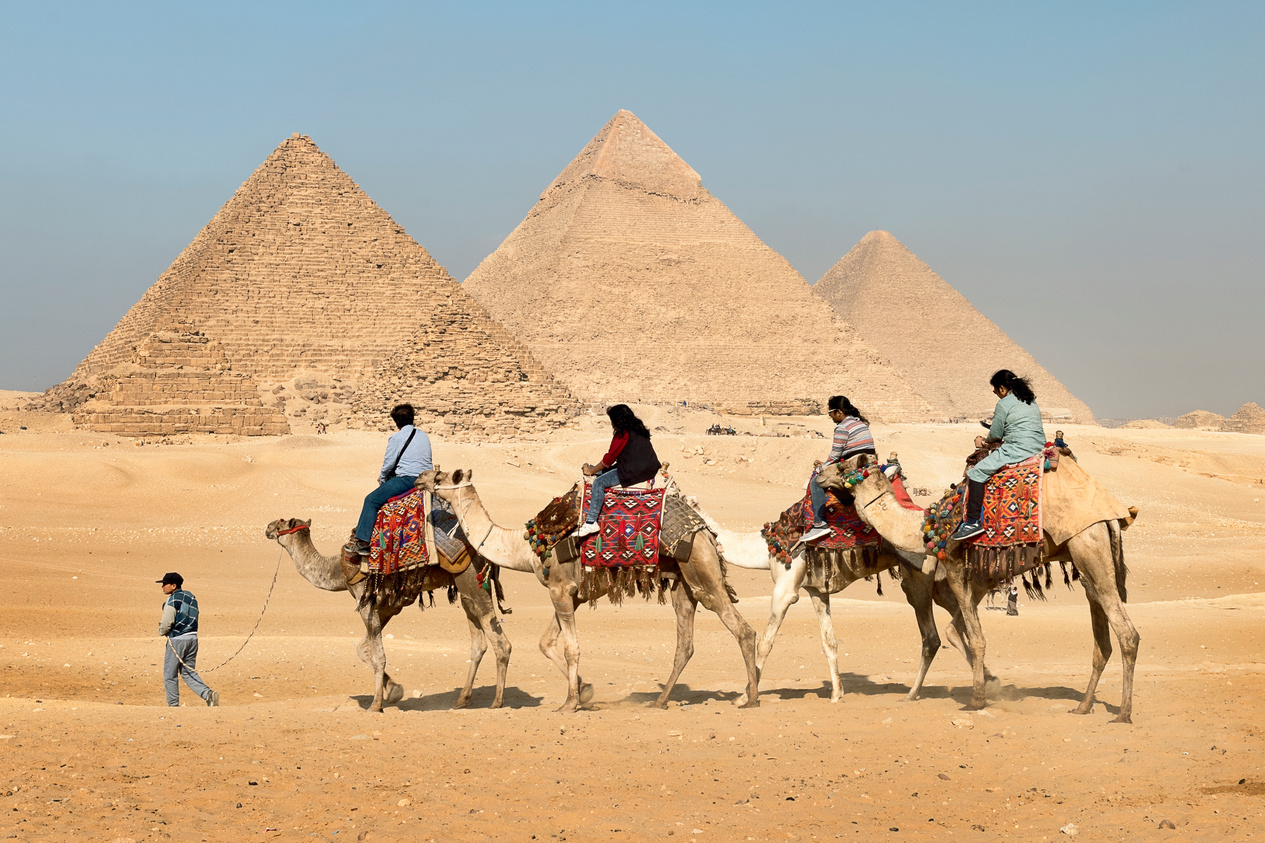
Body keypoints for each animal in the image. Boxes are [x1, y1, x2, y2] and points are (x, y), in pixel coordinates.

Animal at [264, 511, 511, 708]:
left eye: (281, 523)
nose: (267, 527)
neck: (337, 570)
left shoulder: (365, 602)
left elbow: (378, 655)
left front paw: (376, 704)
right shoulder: (387, 608)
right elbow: (363, 649)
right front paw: (393, 690)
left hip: (471, 579)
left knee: (501, 643)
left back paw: (497, 702)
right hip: (465, 589)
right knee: (478, 643)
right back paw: (462, 699)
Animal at [814, 453, 1143, 724]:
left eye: (841, 466)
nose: (818, 473)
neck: (926, 528)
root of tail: (1114, 515)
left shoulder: (957, 568)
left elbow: (976, 638)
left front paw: (977, 699)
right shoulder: (977, 580)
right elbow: (958, 630)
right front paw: (989, 684)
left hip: (1087, 545)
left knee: (1127, 634)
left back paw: (1123, 714)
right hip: (1086, 562)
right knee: (1102, 641)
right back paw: (1083, 706)